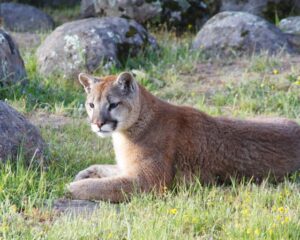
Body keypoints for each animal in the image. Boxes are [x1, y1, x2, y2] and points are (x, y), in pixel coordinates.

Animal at [68, 71, 300, 202]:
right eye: (91, 105)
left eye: (113, 104)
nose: (97, 123)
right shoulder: (129, 169)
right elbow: (107, 169)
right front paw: (85, 173)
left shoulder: (147, 181)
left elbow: (103, 186)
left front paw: (72, 187)